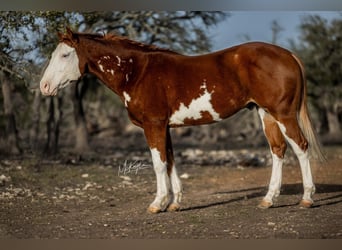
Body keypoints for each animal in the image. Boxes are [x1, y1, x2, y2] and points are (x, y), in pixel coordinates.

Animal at [38, 28, 324, 214]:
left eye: (65, 55)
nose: (44, 87)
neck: (137, 72)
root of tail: (288, 55)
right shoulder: (165, 127)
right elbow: (171, 161)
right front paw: (174, 203)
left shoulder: (153, 125)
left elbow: (158, 164)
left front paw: (157, 203)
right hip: (266, 114)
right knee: (278, 150)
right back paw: (268, 199)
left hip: (284, 114)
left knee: (300, 147)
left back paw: (307, 198)